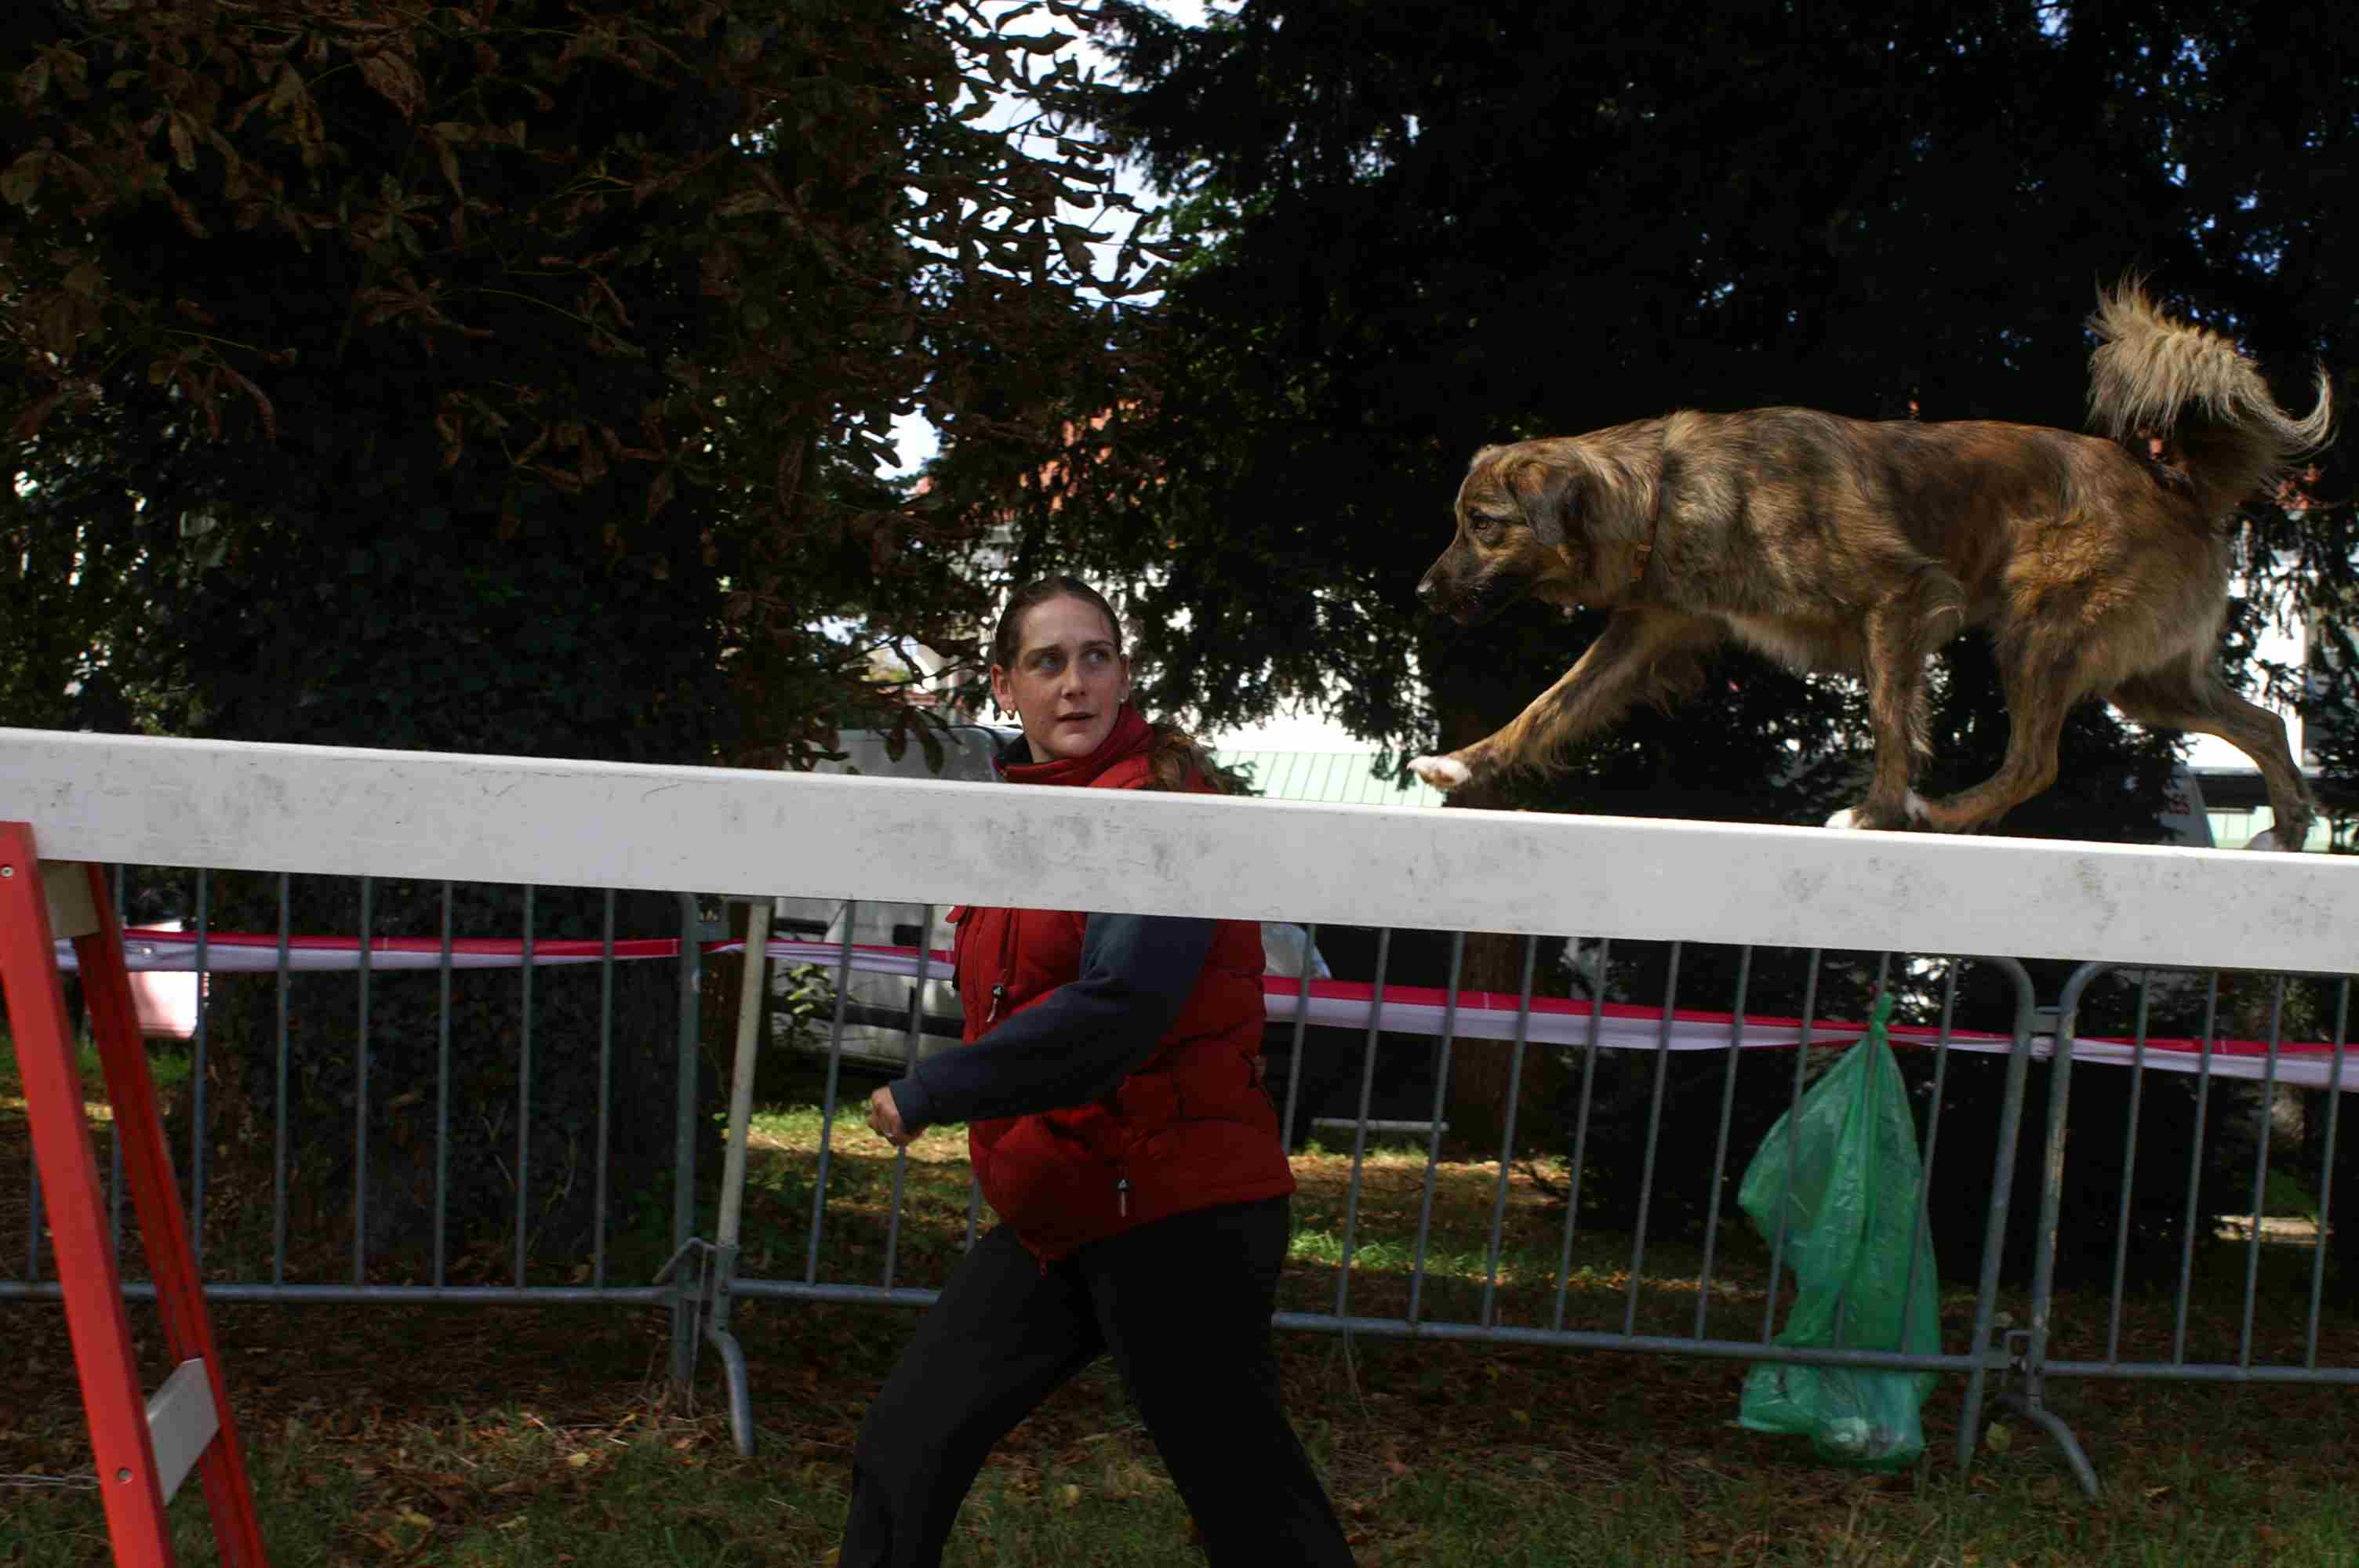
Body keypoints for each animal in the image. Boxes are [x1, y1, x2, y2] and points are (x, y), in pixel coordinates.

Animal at [1408, 284, 2334, 847]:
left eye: (1482, 525)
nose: (1422, 591)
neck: (1667, 490)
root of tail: (2178, 484)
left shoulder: (1897, 597)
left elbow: (1891, 720)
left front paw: (1879, 810)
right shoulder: (1645, 634)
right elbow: (1546, 708)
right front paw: (1465, 761)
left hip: (2044, 629)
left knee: (2035, 760)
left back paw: (1946, 813)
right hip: (2148, 681)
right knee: (2265, 723)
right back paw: (2288, 831)